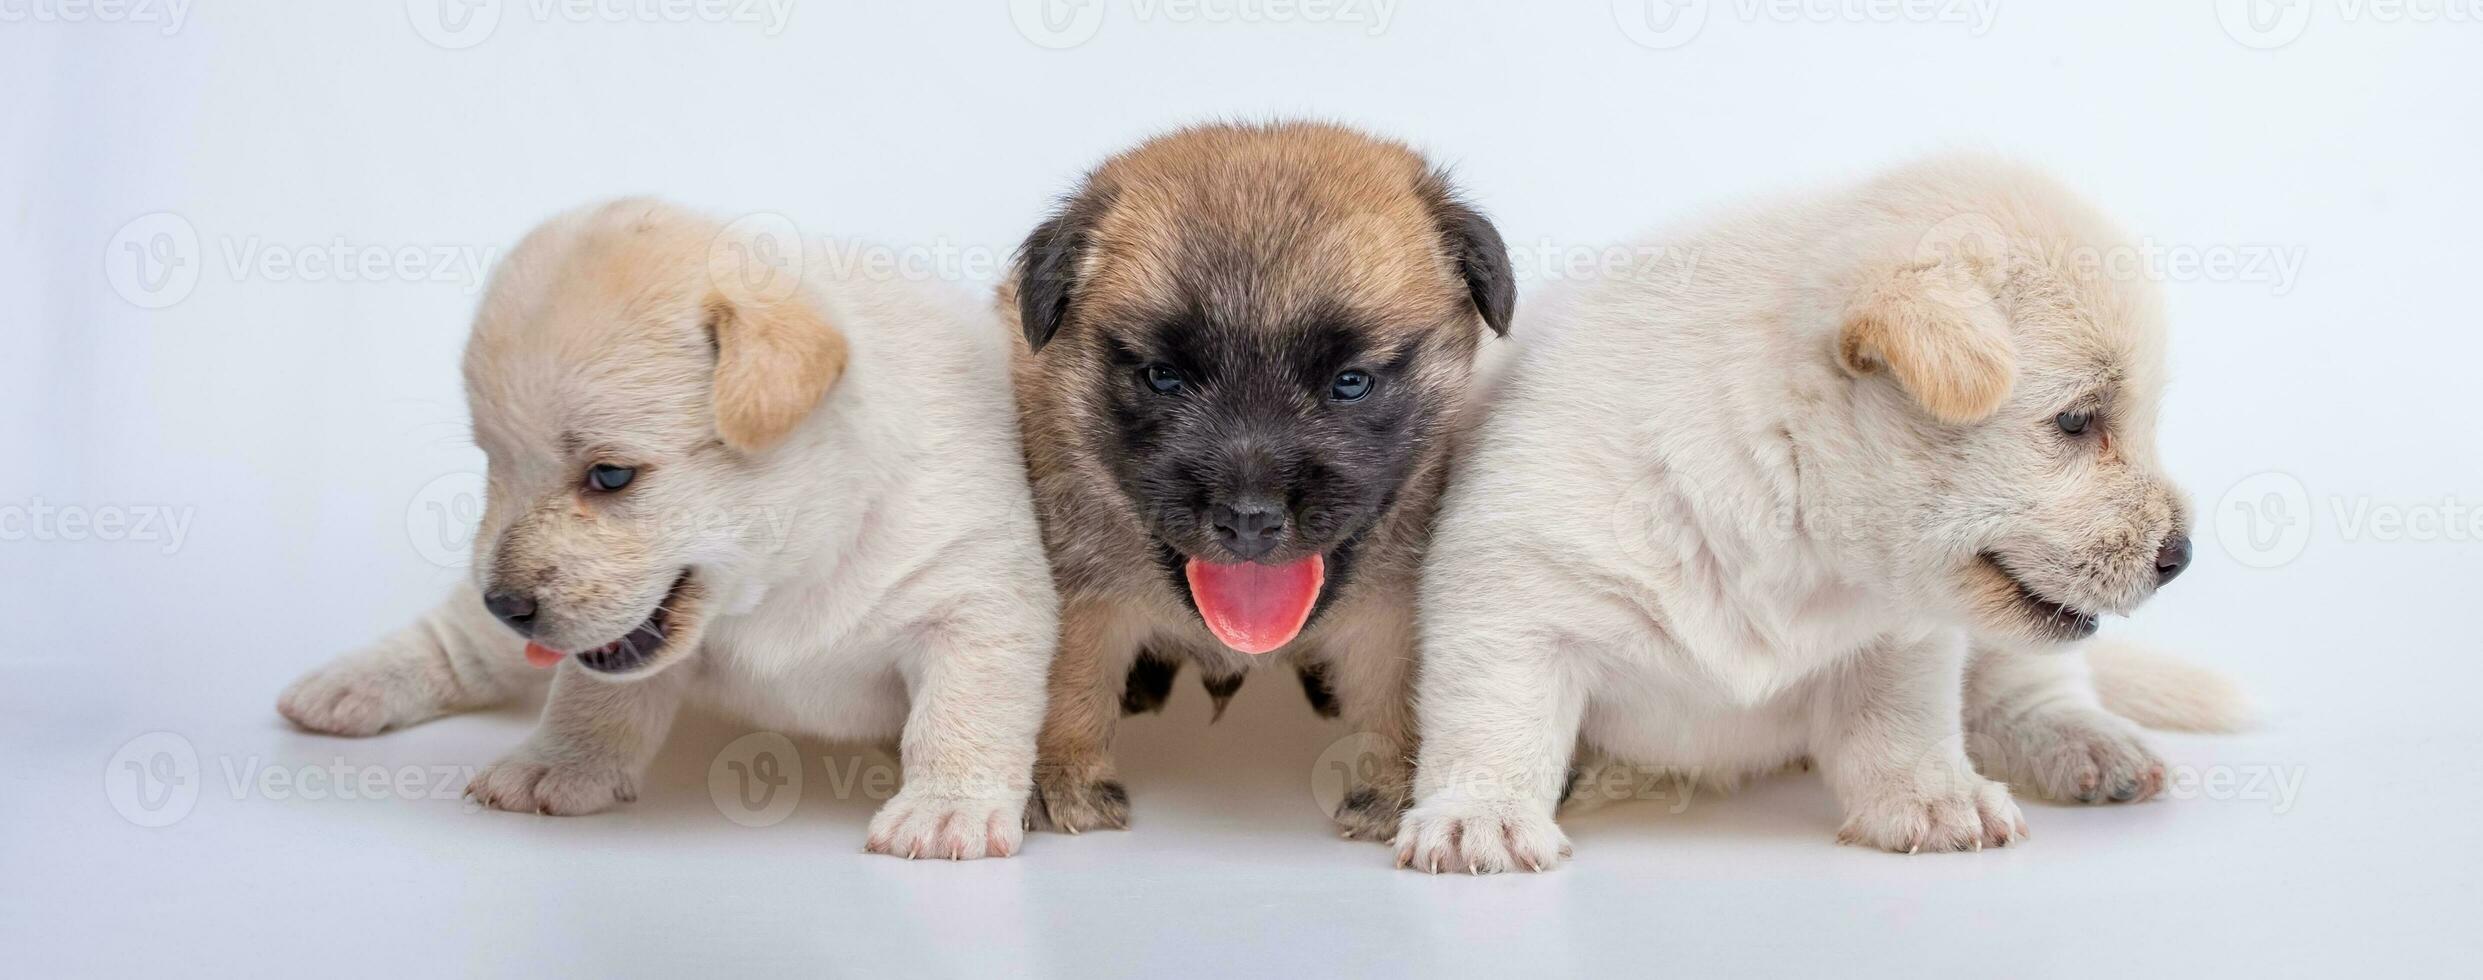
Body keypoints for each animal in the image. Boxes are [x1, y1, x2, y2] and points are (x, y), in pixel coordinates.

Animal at [281, 197, 1057, 858]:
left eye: (610, 475)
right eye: (494, 466)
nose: (504, 603)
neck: (791, 570)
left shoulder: (975, 599)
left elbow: (962, 712)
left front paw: (946, 808)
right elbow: (590, 702)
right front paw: (558, 766)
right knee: (461, 643)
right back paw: (345, 687)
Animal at [1003, 120, 1509, 843]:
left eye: (1351, 382)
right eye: (1162, 377)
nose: (1249, 519)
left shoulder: (1388, 616)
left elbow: (1397, 693)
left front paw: (1399, 789)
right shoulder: (1081, 586)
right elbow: (1069, 671)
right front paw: (1062, 774)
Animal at [1400, 155, 2254, 873]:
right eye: (2077, 421)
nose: (2179, 556)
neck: (1786, 510)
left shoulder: (1901, 639)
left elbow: (1901, 726)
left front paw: (1934, 797)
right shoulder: (1513, 602)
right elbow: (1494, 720)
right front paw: (1479, 816)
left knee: (2031, 686)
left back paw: (2087, 741)